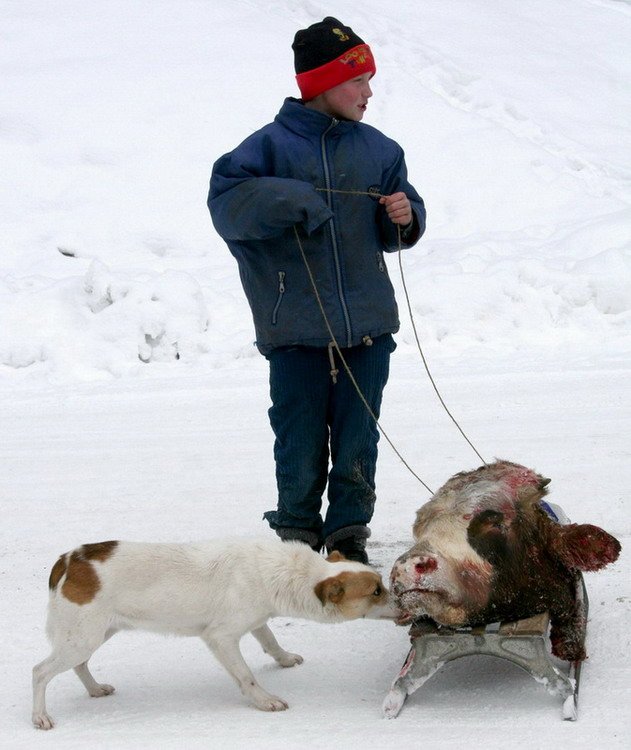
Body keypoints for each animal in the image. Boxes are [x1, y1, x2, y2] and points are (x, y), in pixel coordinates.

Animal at [33, 536, 396, 732]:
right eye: (377, 591)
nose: (405, 601)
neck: (286, 573)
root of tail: (69, 559)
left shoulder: (256, 620)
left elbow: (270, 641)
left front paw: (284, 659)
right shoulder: (221, 638)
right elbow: (247, 677)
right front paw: (264, 701)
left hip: (93, 633)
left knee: (80, 665)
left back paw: (94, 689)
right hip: (82, 637)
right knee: (40, 672)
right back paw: (40, 716)